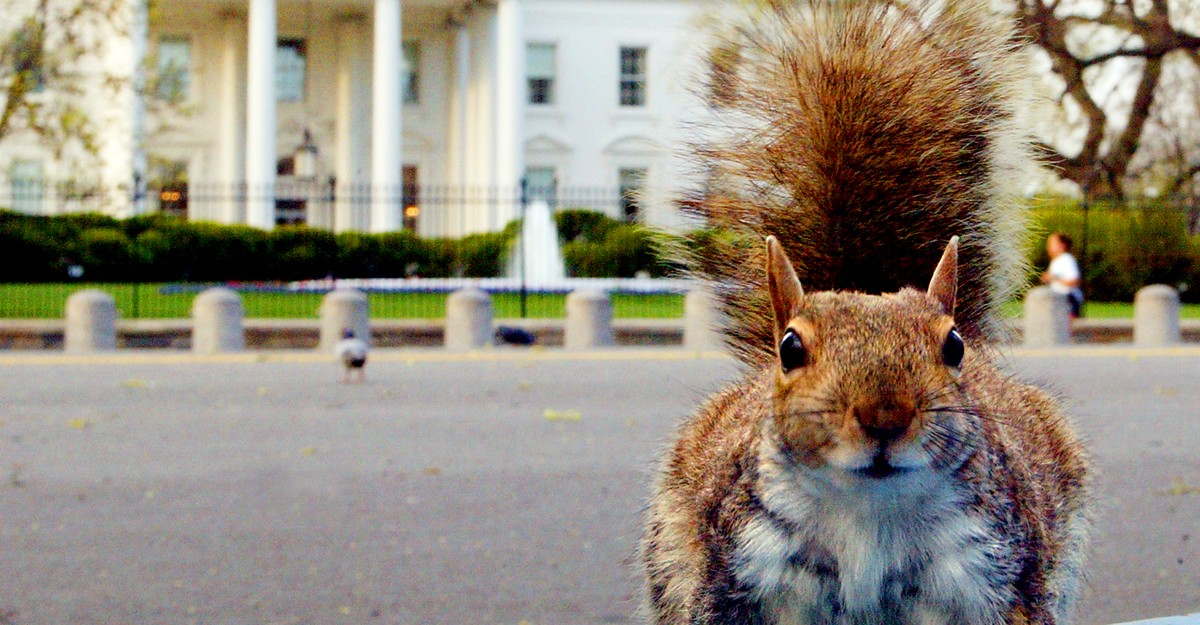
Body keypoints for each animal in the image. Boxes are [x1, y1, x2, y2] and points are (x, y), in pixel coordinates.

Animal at [641, 2, 1092, 625]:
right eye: (789, 349)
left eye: (954, 346)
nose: (885, 417)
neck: (867, 514)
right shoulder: (738, 573)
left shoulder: (990, 571)